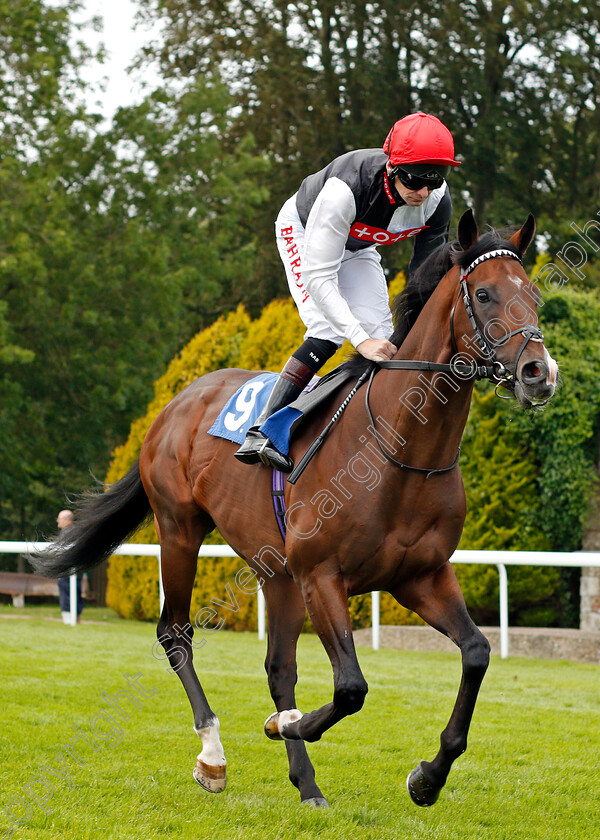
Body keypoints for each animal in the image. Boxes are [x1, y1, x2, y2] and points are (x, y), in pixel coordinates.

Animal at [31, 208, 556, 808]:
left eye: (533, 295)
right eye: (485, 294)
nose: (539, 372)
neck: (399, 449)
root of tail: (175, 402)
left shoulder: (420, 575)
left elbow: (476, 652)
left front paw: (428, 775)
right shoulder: (322, 574)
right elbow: (351, 687)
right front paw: (282, 724)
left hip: (276, 571)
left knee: (279, 667)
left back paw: (307, 783)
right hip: (180, 528)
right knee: (176, 633)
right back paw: (214, 756)